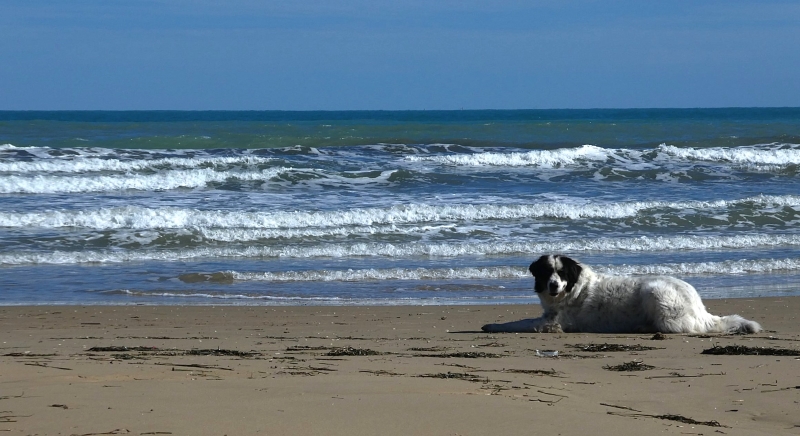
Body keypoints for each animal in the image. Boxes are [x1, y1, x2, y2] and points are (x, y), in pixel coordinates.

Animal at [482, 255, 764, 334]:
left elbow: (519, 323)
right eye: (547, 272)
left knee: (682, 328)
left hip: (656, 291)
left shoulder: (551, 322)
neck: (572, 290)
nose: (553, 285)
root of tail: (702, 309)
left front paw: (491, 326)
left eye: (561, 273)